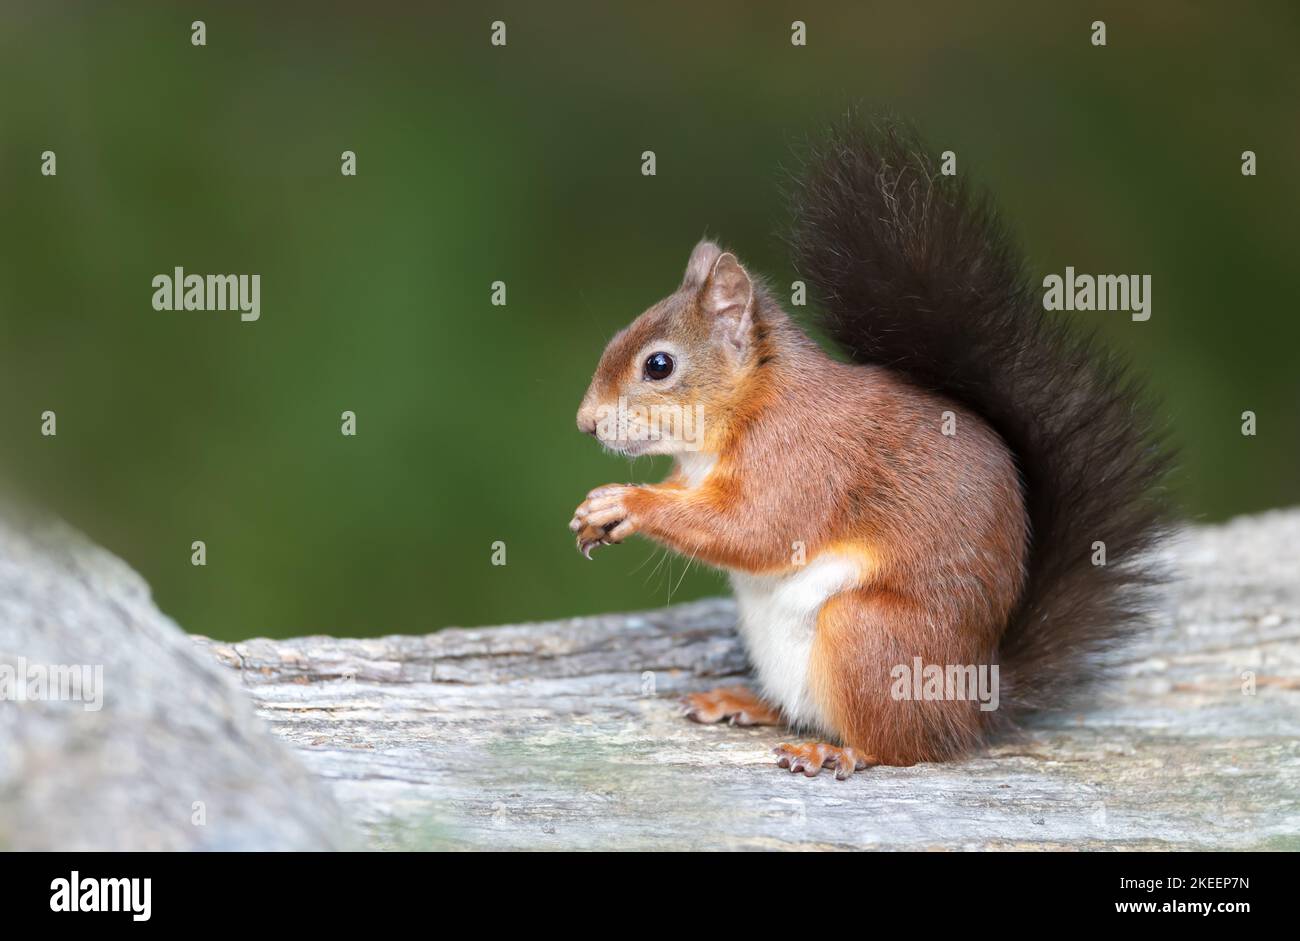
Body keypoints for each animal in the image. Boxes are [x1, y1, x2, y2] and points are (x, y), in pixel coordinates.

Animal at [569, 115, 1170, 779]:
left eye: (659, 365)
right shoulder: (699, 473)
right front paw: (597, 509)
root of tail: (971, 706)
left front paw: (628, 503)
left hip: (867, 635)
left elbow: (757, 529)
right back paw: (743, 702)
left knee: (902, 746)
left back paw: (832, 751)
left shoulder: (801, 459)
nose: (585, 423)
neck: (743, 411)